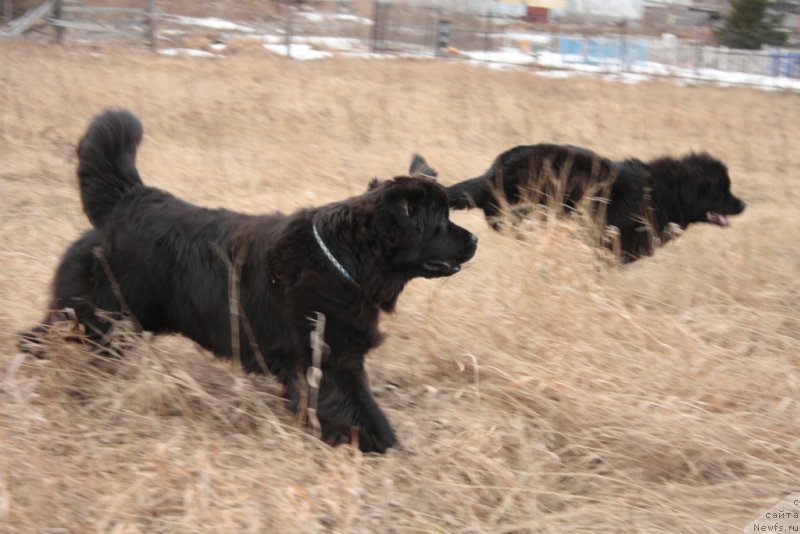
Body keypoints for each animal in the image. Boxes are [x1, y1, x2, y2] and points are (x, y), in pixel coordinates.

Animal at [21, 111, 478, 454]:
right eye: (439, 223)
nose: (473, 239)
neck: (343, 258)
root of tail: (129, 198)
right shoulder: (328, 360)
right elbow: (360, 409)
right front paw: (383, 446)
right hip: (93, 314)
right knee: (37, 337)